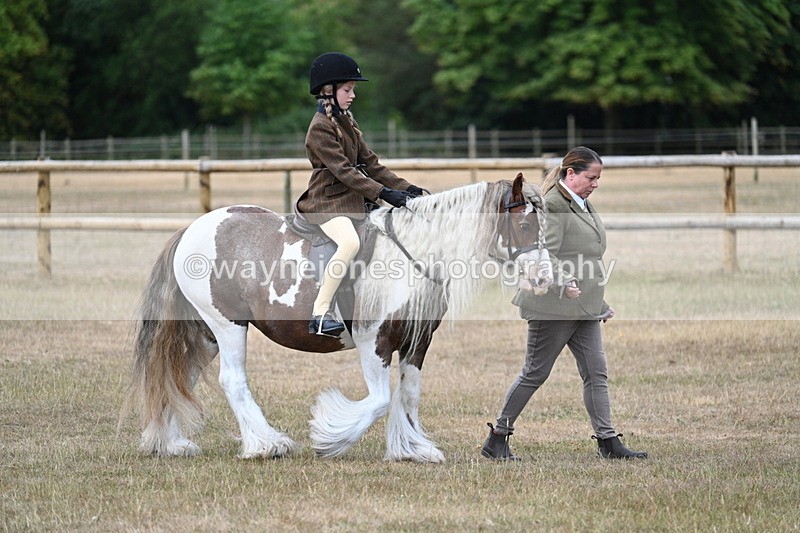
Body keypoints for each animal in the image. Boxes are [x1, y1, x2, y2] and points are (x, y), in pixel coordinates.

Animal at [125, 172, 554, 463]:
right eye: (525, 223)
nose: (545, 279)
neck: (412, 256)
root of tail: (191, 229)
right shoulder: (373, 341)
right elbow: (380, 400)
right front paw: (330, 435)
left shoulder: (417, 343)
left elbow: (408, 395)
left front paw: (413, 449)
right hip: (227, 327)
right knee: (232, 380)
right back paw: (266, 445)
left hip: (206, 333)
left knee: (179, 377)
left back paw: (170, 443)